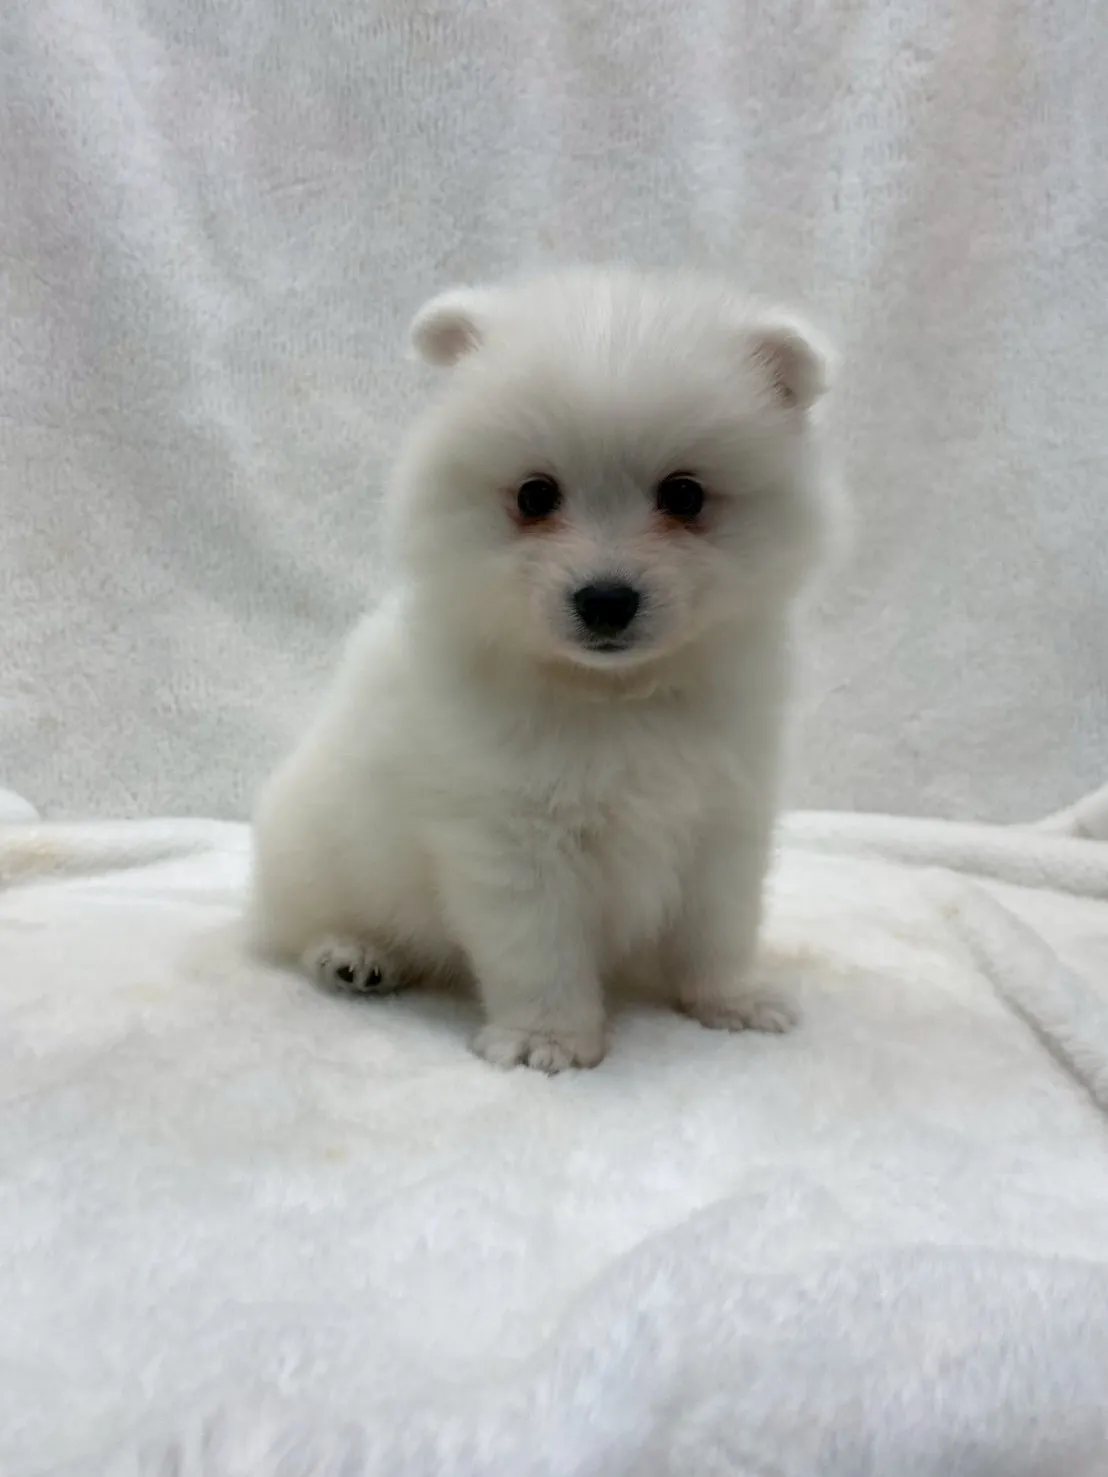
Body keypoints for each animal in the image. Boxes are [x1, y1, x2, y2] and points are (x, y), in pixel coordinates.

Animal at [250, 267, 835, 1071]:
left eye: (685, 495)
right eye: (535, 495)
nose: (606, 600)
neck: (613, 694)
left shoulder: (723, 817)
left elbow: (719, 925)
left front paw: (732, 1000)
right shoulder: (512, 835)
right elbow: (541, 949)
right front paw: (546, 1039)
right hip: (313, 849)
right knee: (307, 922)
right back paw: (353, 954)